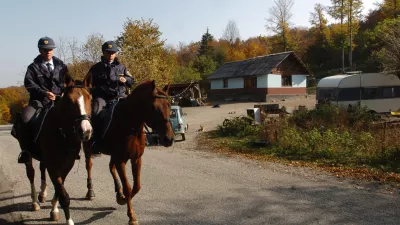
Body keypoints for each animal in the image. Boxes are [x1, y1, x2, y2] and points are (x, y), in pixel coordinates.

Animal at [36, 78, 92, 224]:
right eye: (69, 100)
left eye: (90, 98)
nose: (86, 131)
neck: (62, 133)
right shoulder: (52, 165)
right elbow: (63, 194)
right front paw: (69, 220)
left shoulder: (67, 164)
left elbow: (59, 187)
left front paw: (54, 210)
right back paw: (35, 201)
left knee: (42, 169)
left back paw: (42, 194)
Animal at [84, 80, 173, 224]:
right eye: (153, 107)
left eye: (169, 105)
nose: (168, 139)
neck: (129, 124)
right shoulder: (121, 160)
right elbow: (128, 187)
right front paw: (131, 216)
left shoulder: (135, 158)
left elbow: (136, 186)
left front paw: (122, 199)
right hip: (88, 148)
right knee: (89, 166)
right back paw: (90, 191)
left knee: (111, 167)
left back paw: (118, 192)